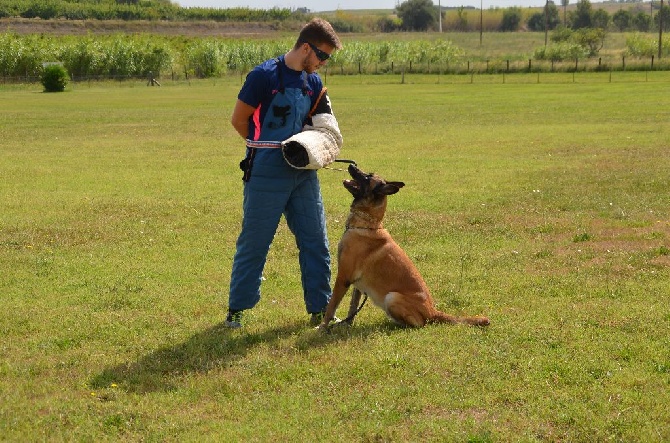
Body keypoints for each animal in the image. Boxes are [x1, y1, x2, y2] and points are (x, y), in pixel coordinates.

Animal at [318, 165, 490, 332]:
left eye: (367, 177)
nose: (351, 165)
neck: (367, 224)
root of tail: (433, 311)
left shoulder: (343, 278)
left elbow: (331, 307)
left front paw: (322, 329)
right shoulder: (356, 286)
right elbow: (352, 307)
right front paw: (346, 325)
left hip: (392, 297)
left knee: (420, 324)